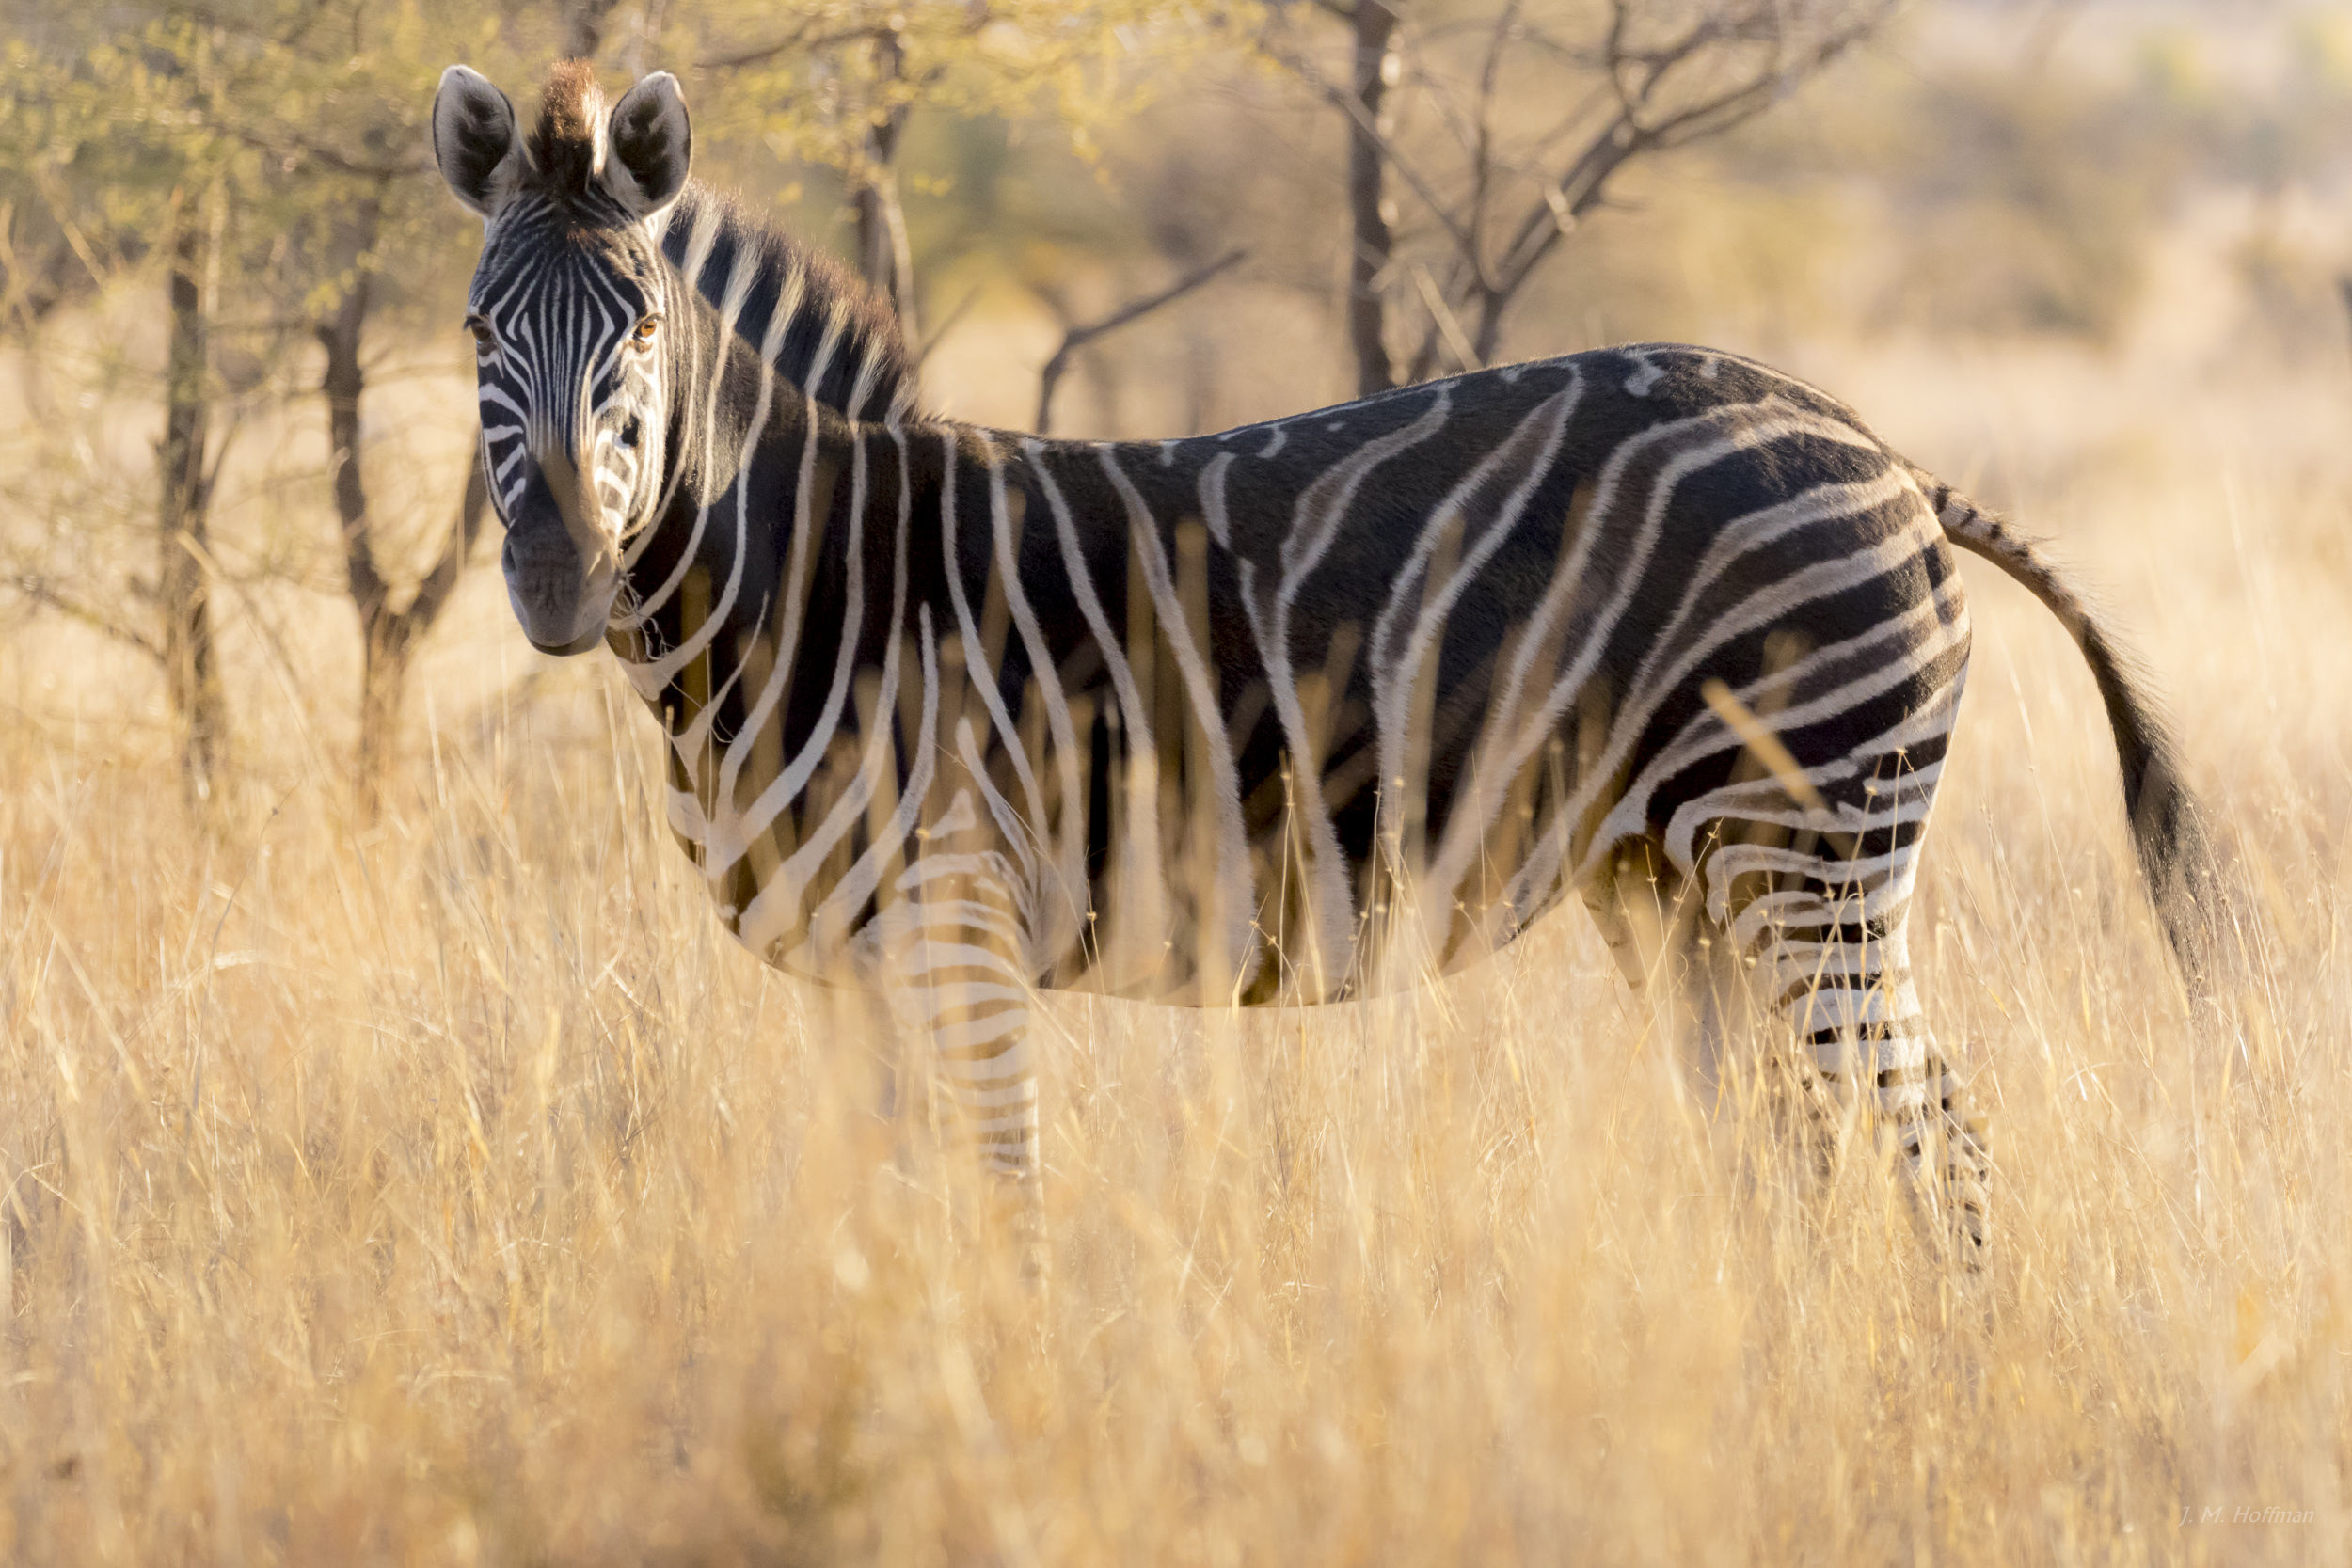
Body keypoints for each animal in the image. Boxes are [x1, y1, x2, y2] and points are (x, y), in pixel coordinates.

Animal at [430, 61, 2219, 1255]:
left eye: (641, 327)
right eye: (473, 333)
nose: (560, 581)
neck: (804, 584)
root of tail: (1877, 444)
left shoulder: (959, 924)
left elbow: (1001, 1217)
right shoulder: (842, 975)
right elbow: (879, 1229)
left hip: (1813, 848)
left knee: (1936, 1148)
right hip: (1678, 874)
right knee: (1803, 1154)